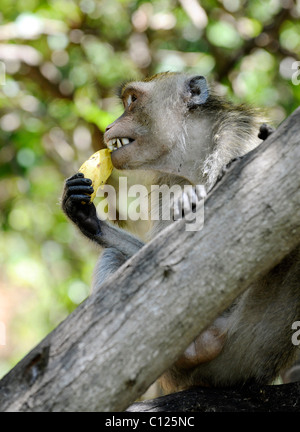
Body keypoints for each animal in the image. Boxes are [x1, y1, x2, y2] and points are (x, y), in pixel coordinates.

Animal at [61, 71, 300, 392]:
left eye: (132, 100)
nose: (109, 126)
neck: (194, 150)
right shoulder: (169, 180)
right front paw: (84, 215)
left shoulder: (238, 137)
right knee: (115, 258)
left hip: (256, 346)